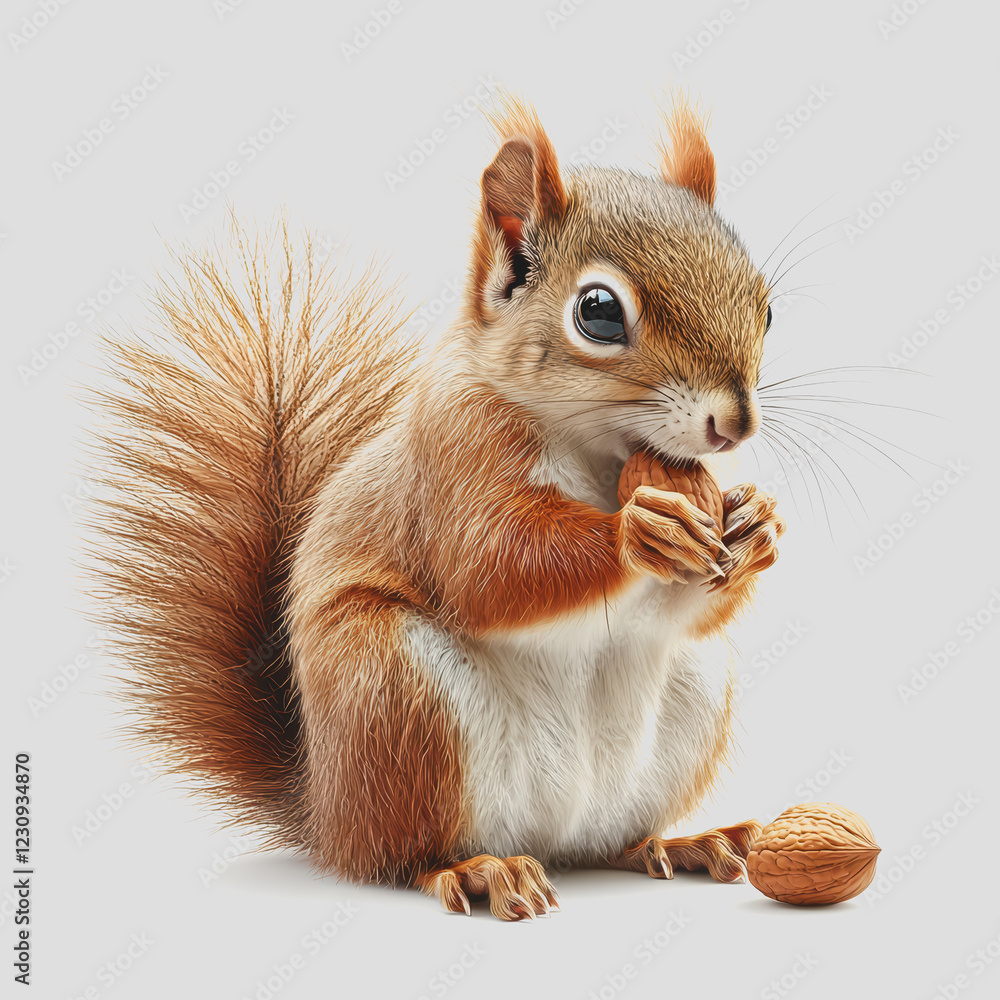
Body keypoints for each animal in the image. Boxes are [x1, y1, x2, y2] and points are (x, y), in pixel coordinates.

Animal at [91, 93, 786, 921]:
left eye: (766, 307)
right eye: (599, 313)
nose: (735, 425)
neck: (603, 454)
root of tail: (325, 810)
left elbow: (691, 599)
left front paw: (757, 525)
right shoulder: (455, 453)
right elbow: (487, 566)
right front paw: (641, 532)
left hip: (687, 697)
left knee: (610, 839)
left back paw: (681, 843)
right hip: (395, 696)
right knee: (400, 856)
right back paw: (478, 871)